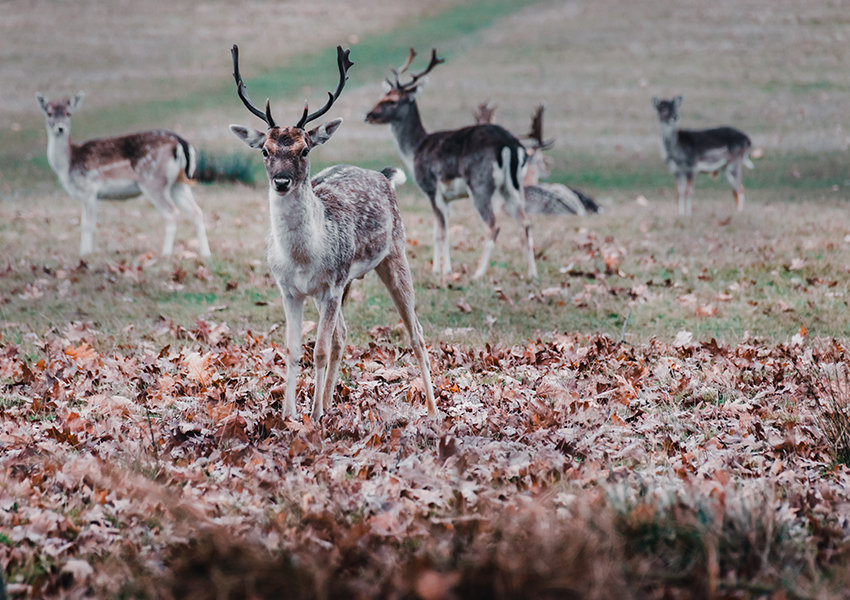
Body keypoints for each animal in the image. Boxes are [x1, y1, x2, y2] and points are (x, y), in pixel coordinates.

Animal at [35, 91, 210, 255]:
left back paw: (165, 253)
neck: (68, 165)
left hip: (153, 181)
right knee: (197, 212)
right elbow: (85, 223)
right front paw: (85, 252)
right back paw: (205, 253)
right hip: (178, 183)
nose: (60, 127)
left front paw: (86, 253)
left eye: (68, 113)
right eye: (49, 113)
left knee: (172, 213)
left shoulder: (89, 190)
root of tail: (180, 142)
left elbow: (88, 224)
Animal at [227, 44, 434, 420]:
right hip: (344, 284)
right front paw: (290, 415)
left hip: (394, 253)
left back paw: (433, 409)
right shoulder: (289, 289)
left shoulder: (331, 286)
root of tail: (385, 175)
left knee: (416, 332)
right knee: (343, 335)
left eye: (304, 149)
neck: (301, 257)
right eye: (265, 150)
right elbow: (293, 350)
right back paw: (327, 403)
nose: (281, 181)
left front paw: (311, 417)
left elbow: (318, 350)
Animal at [366, 47, 536, 282]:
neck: (415, 150)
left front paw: (446, 270)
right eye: (382, 96)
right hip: (513, 187)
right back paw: (532, 273)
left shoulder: (431, 188)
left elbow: (442, 230)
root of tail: (510, 144)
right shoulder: (448, 197)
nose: (368, 115)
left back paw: (478, 273)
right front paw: (436, 269)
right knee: (526, 223)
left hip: (481, 184)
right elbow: (436, 231)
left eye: (392, 101)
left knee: (493, 225)